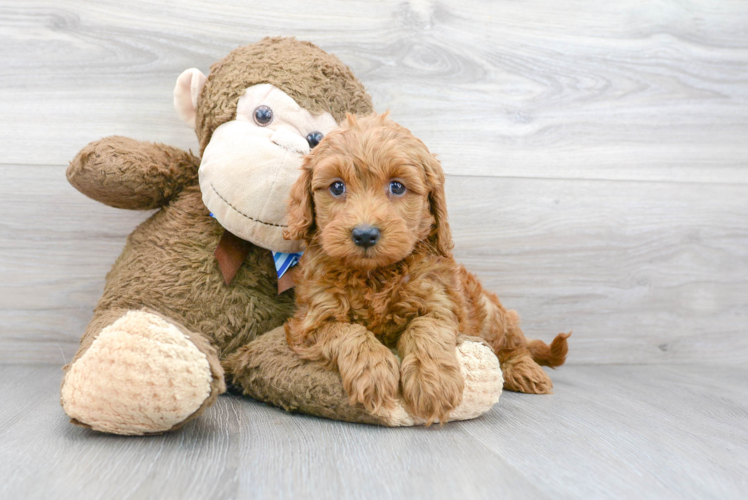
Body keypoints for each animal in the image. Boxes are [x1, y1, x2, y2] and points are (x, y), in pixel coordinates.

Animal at [284, 112, 568, 422]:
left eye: (397, 186)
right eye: (337, 187)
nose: (365, 234)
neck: (375, 275)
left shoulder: (440, 302)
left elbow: (425, 327)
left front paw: (434, 383)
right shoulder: (311, 320)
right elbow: (346, 332)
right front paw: (374, 371)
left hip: (492, 315)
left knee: (515, 347)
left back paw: (525, 371)